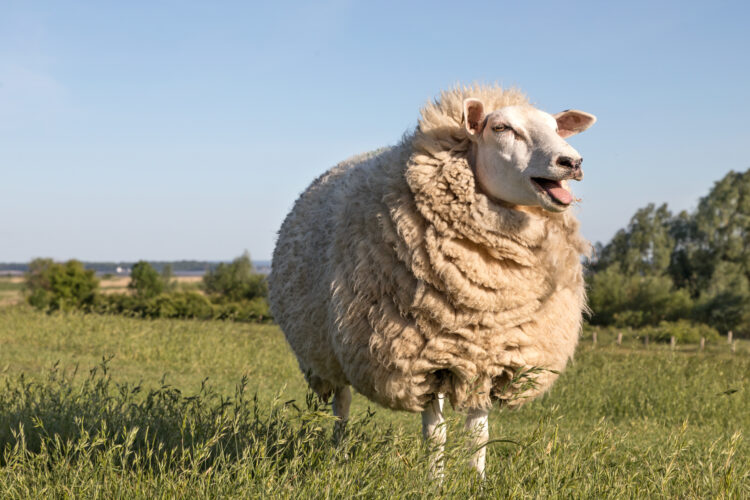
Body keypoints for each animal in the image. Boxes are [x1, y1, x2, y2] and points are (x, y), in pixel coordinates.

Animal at [268, 85, 596, 477]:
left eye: (556, 128)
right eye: (501, 128)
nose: (572, 162)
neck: (487, 296)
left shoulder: (486, 355)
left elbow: (478, 433)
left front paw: (477, 480)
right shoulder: (421, 360)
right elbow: (435, 434)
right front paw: (434, 481)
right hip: (325, 352)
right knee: (341, 406)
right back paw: (339, 457)